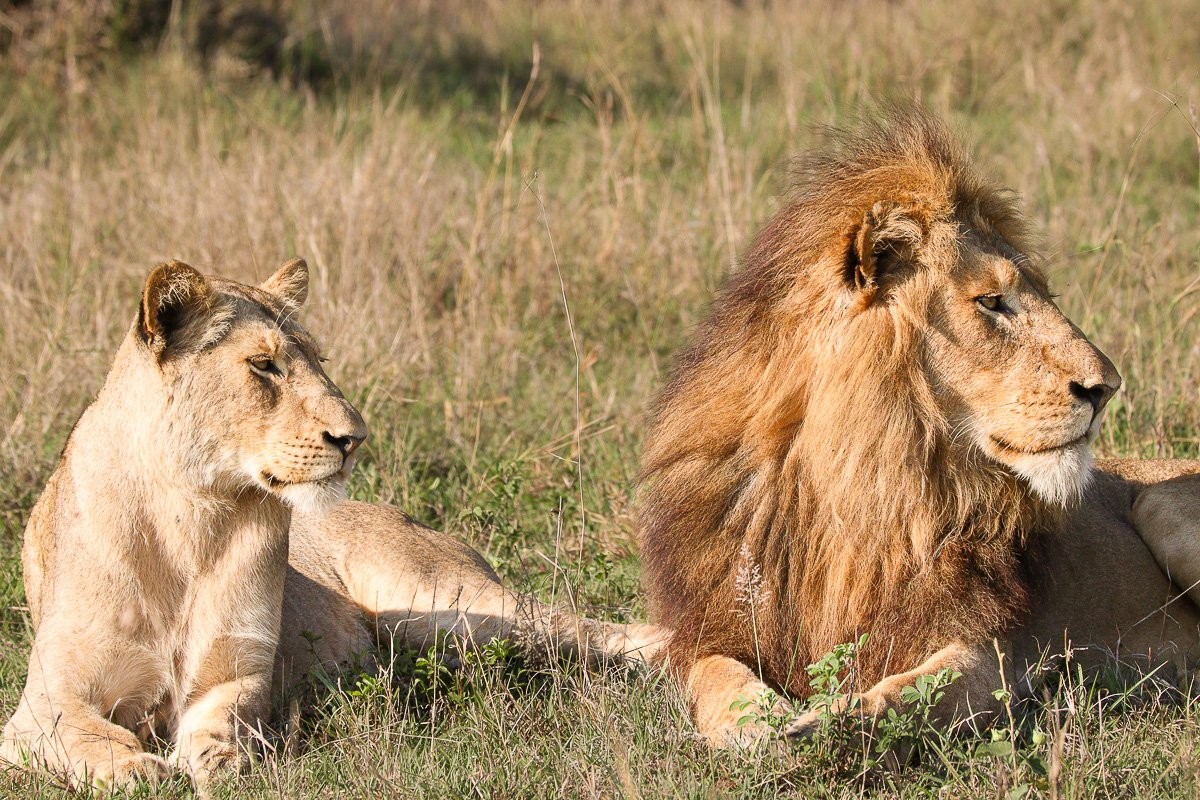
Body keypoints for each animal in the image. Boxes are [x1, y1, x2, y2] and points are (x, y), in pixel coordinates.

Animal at [1, 259, 663, 790]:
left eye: (317, 360)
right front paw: (140, 767)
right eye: (264, 365)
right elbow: (85, 733)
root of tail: (401, 513)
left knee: (604, 631)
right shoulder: (40, 707)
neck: (192, 513)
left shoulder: (237, 673)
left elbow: (224, 726)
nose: (353, 438)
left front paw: (223, 763)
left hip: (452, 608)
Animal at [637, 107, 1200, 747]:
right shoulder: (717, 624)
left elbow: (907, 695)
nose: (1106, 387)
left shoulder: (986, 647)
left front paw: (820, 727)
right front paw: (761, 724)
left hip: (1160, 505)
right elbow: (712, 676)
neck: (861, 486)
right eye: (991, 302)